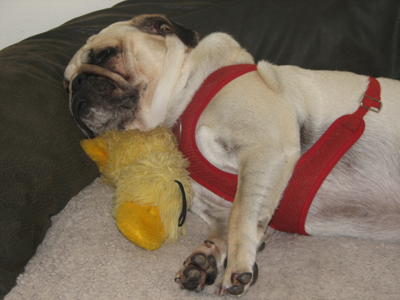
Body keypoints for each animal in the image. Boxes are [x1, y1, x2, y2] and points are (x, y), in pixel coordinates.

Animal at [64, 13, 400, 296]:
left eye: (105, 54)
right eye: (66, 83)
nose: (77, 85)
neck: (182, 105)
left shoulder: (266, 148)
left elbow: (242, 214)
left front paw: (237, 264)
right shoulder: (218, 209)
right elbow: (224, 231)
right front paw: (204, 260)